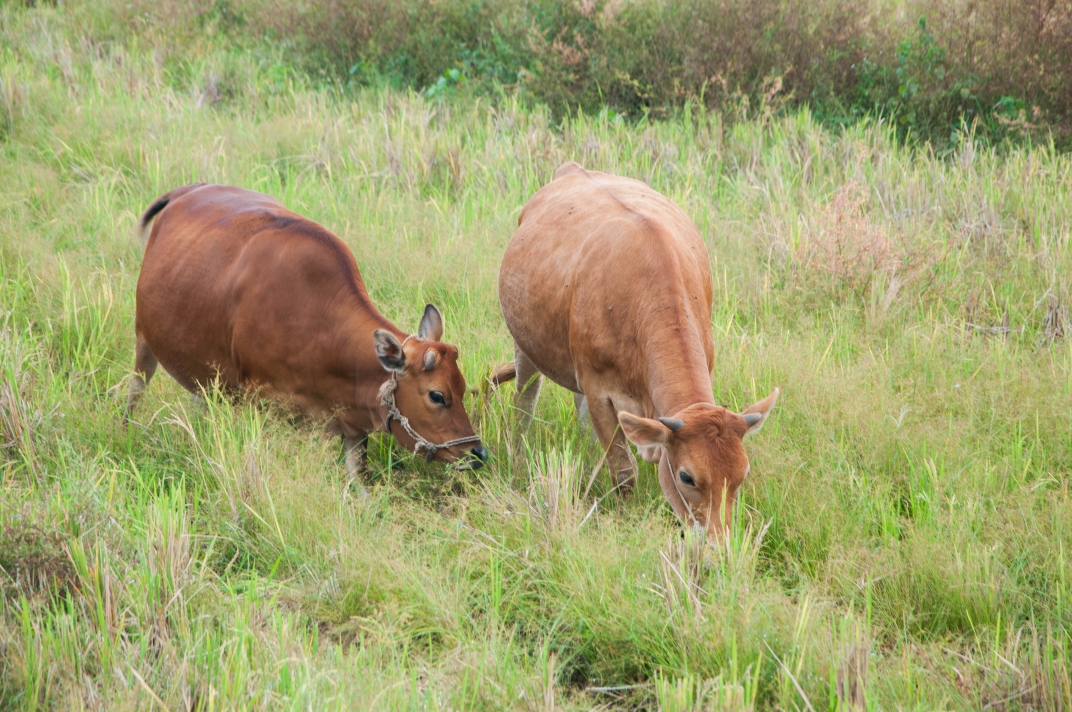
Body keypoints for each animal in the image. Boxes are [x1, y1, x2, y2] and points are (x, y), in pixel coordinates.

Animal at [493, 164, 780, 536]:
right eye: (687, 476)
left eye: (742, 475)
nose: (717, 542)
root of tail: (573, 168)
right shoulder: (600, 391)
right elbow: (623, 471)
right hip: (525, 343)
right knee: (525, 398)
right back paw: (517, 452)